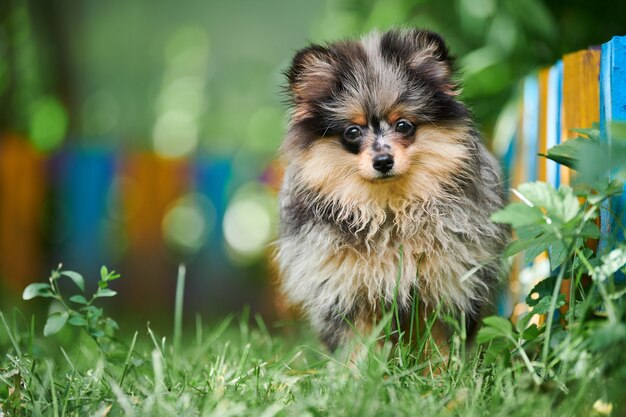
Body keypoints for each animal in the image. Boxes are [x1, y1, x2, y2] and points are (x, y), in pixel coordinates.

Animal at [274, 27, 508, 352]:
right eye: (352, 131)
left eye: (404, 125)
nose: (383, 161)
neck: (388, 211)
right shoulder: (349, 293)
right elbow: (358, 348)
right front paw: (359, 368)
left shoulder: (445, 286)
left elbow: (438, 345)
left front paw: (443, 368)